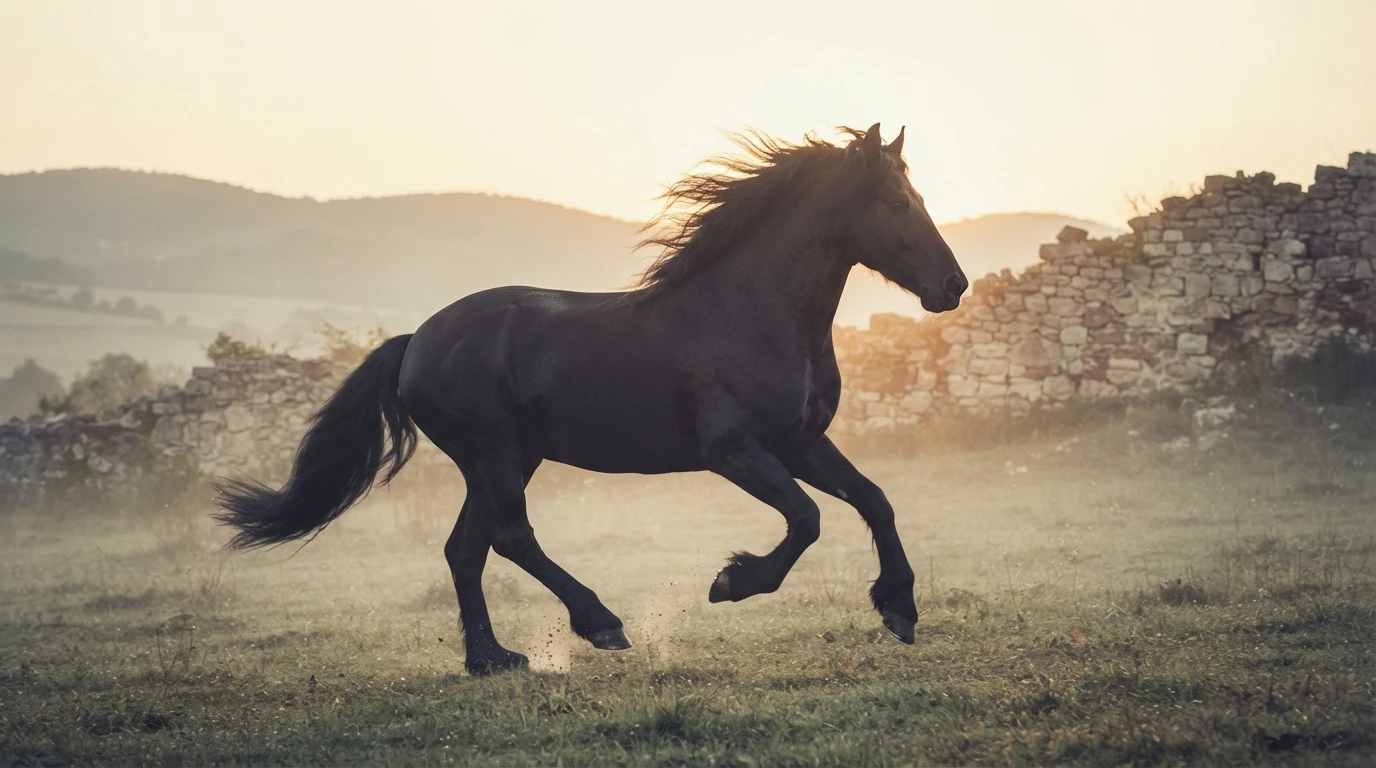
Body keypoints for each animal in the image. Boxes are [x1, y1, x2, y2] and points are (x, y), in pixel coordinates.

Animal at [213, 123, 968, 675]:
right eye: (897, 203)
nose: (953, 285)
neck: (752, 311)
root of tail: (417, 340)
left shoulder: (801, 443)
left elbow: (874, 499)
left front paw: (899, 608)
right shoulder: (736, 452)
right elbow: (808, 519)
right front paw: (732, 582)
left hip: (506, 461)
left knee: (466, 548)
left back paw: (493, 660)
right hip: (494, 454)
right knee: (510, 538)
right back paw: (600, 624)